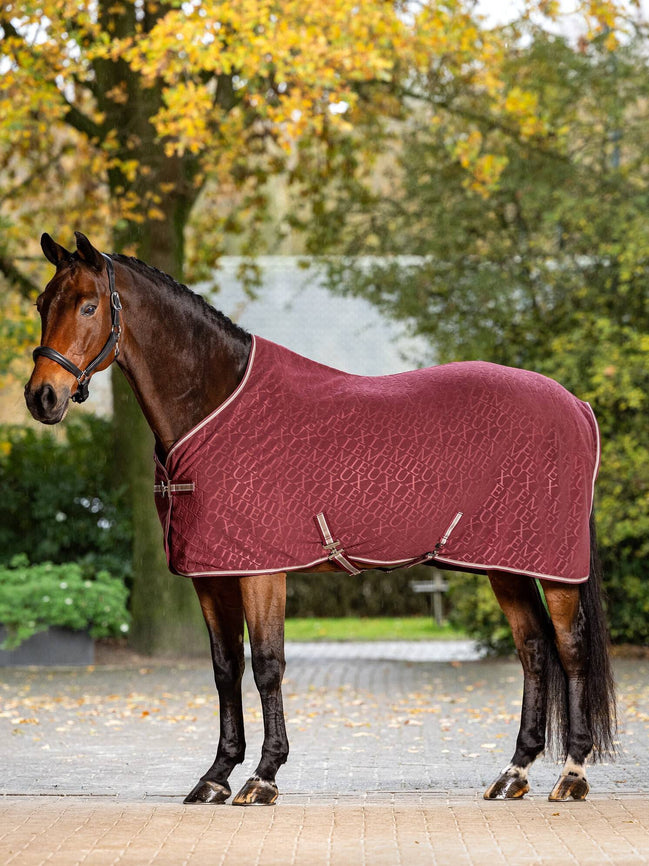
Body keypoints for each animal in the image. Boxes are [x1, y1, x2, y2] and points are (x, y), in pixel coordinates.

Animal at [25, 231, 616, 806]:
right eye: (41, 303)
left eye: (88, 305)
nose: (42, 396)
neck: (215, 405)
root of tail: (578, 406)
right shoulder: (213, 574)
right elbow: (225, 668)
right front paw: (216, 776)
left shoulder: (261, 571)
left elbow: (267, 665)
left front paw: (263, 776)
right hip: (505, 565)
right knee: (534, 650)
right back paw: (514, 772)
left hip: (554, 569)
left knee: (570, 649)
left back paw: (572, 775)